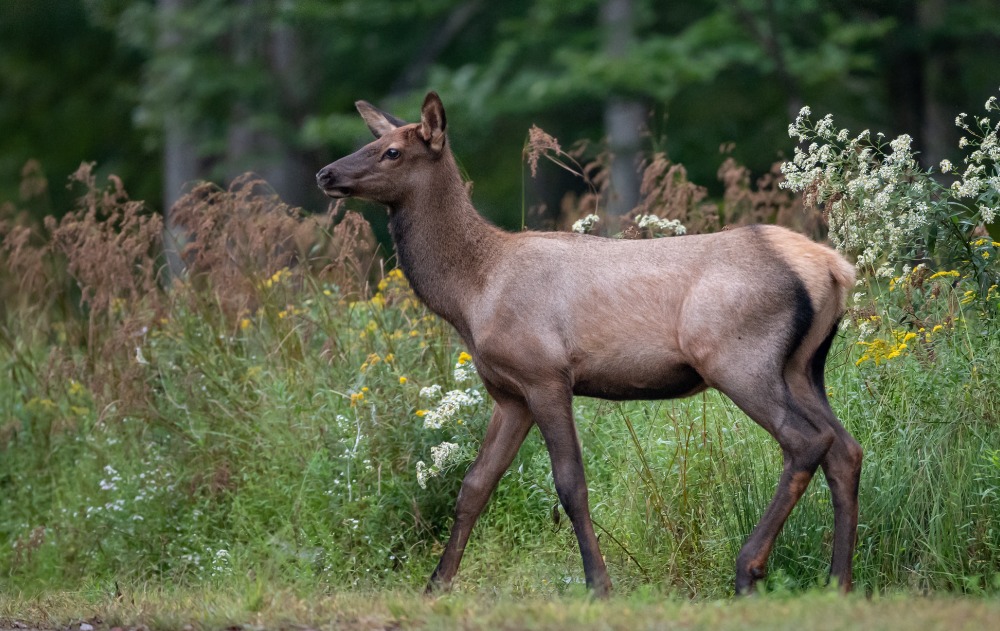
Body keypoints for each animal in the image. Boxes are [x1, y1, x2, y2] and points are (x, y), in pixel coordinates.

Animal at [316, 94, 864, 596]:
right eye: (370, 141)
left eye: (391, 151)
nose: (325, 173)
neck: (471, 295)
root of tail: (836, 268)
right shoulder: (509, 394)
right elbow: (474, 485)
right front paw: (436, 585)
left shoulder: (545, 374)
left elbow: (570, 484)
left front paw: (598, 584)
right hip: (802, 366)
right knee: (846, 448)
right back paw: (838, 581)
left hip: (737, 357)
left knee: (806, 440)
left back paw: (749, 569)